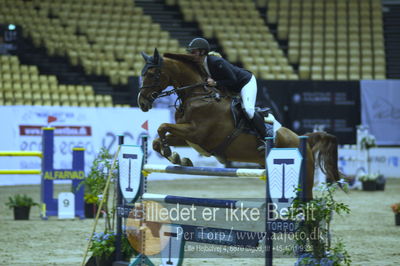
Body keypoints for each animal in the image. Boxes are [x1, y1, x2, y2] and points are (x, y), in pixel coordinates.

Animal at [138, 48, 340, 200]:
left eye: (153, 74)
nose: (141, 103)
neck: (198, 96)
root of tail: (301, 139)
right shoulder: (189, 138)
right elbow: (157, 139)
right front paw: (177, 158)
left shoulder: (197, 133)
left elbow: (162, 127)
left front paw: (170, 153)